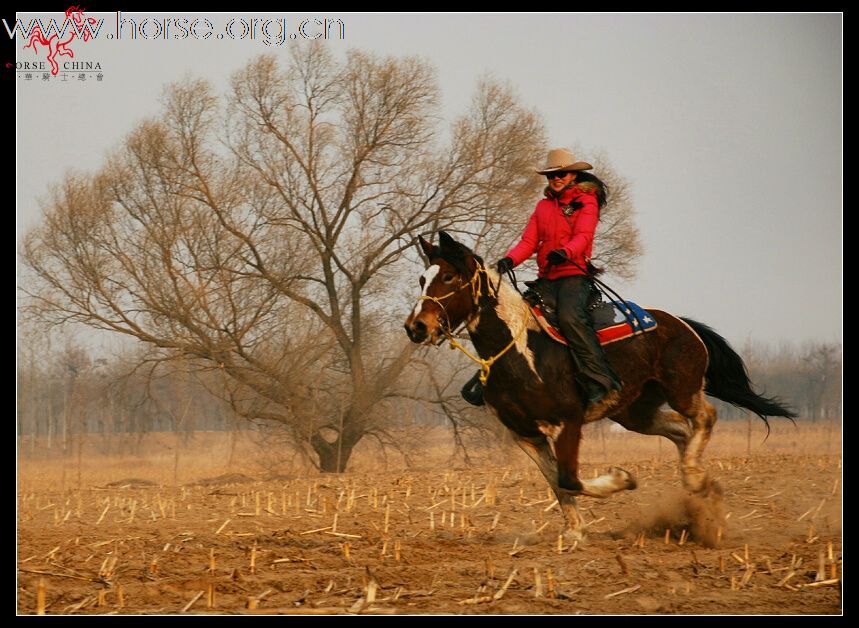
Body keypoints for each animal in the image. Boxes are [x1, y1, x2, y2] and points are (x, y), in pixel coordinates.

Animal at [406, 231, 796, 544]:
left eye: (449, 276)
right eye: (423, 278)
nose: (416, 327)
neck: (522, 352)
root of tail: (683, 324)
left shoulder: (568, 421)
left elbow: (569, 478)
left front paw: (621, 479)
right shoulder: (525, 434)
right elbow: (556, 481)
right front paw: (575, 531)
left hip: (681, 391)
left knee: (705, 417)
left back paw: (697, 478)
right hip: (634, 411)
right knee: (679, 431)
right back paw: (699, 490)